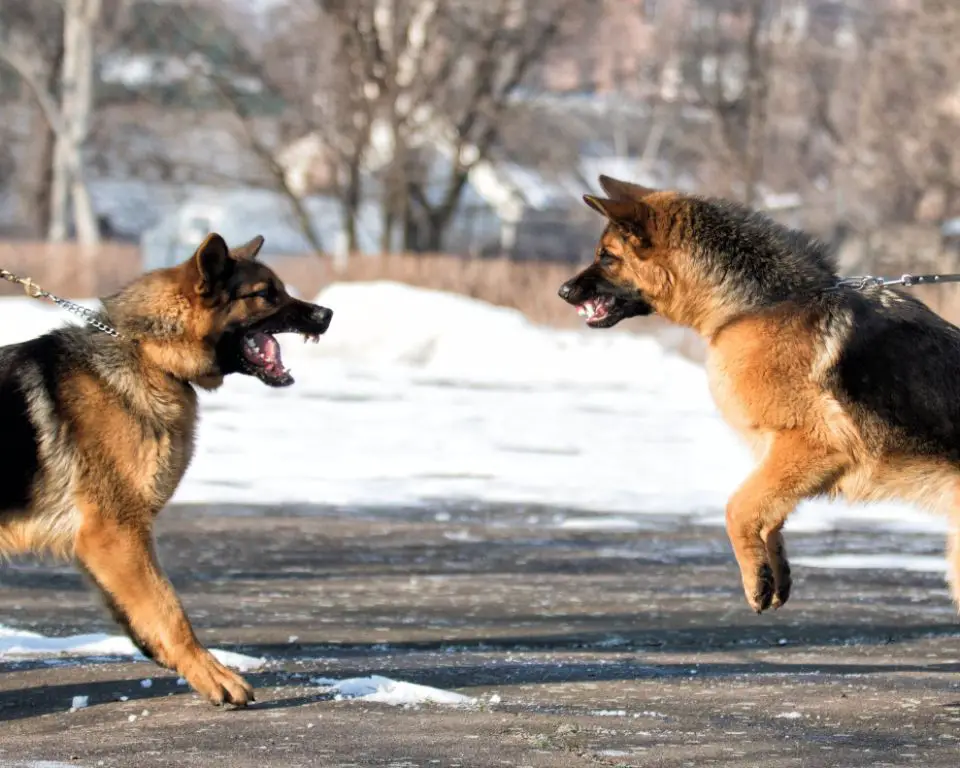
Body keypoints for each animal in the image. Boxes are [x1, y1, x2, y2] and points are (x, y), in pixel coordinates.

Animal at [0, 234, 334, 708]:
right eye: (265, 294)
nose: (327, 315)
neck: (147, 353)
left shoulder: (108, 541)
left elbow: (145, 610)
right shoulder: (114, 531)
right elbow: (171, 610)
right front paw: (212, 675)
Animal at [560, 177, 960, 616]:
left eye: (607, 257)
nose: (563, 290)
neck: (757, 307)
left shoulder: (813, 444)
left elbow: (736, 508)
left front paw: (754, 579)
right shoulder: (780, 455)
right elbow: (767, 514)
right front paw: (773, 572)